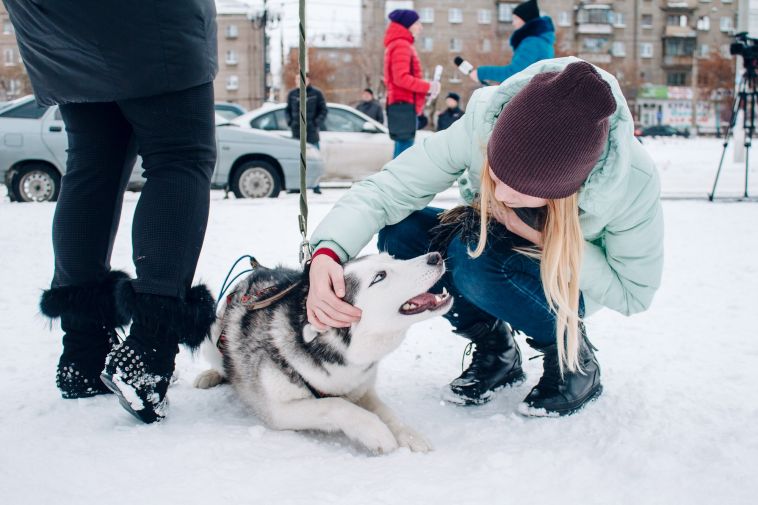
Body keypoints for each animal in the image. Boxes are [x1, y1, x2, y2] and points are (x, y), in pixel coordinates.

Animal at [194, 252, 452, 452]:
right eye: (380, 276)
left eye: (393, 258)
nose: (435, 256)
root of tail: (257, 271)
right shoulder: (278, 411)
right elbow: (335, 405)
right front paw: (375, 430)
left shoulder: (362, 389)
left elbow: (386, 411)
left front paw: (408, 434)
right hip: (212, 336)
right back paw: (212, 374)